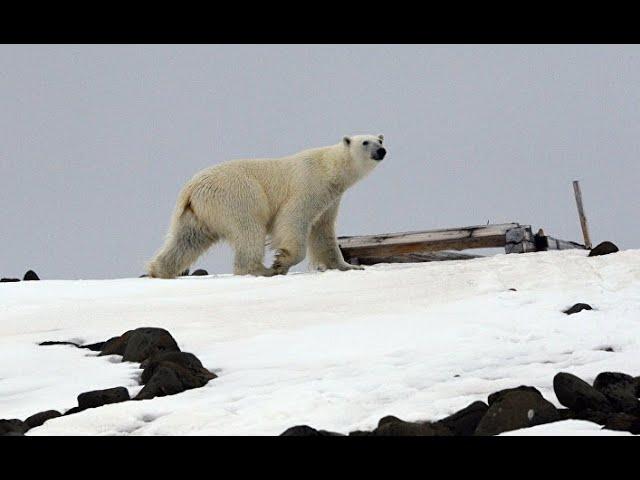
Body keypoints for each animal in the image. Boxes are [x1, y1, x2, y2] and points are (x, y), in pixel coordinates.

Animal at [148, 134, 388, 278]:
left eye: (380, 140)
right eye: (365, 142)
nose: (381, 151)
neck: (329, 168)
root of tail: (190, 187)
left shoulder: (331, 199)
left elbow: (323, 232)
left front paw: (350, 266)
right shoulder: (309, 185)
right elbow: (292, 219)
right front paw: (281, 262)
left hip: (198, 212)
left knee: (187, 240)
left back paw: (159, 270)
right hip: (236, 196)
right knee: (249, 230)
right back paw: (262, 270)